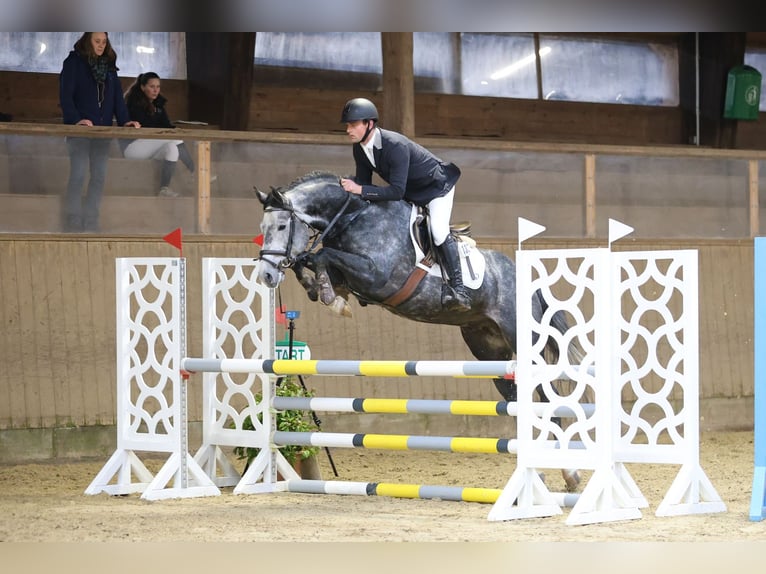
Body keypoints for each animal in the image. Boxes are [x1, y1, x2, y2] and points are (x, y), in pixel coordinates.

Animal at [255, 170, 581, 491]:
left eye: (282, 225)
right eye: (263, 227)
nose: (267, 275)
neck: (353, 216)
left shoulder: (378, 275)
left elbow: (322, 255)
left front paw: (329, 296)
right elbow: (314, 261)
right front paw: (324, 293)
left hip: (526, 342)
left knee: (549, 399)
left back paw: (569, 475)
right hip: (490, 350)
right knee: (515, 398)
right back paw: (537, 477)